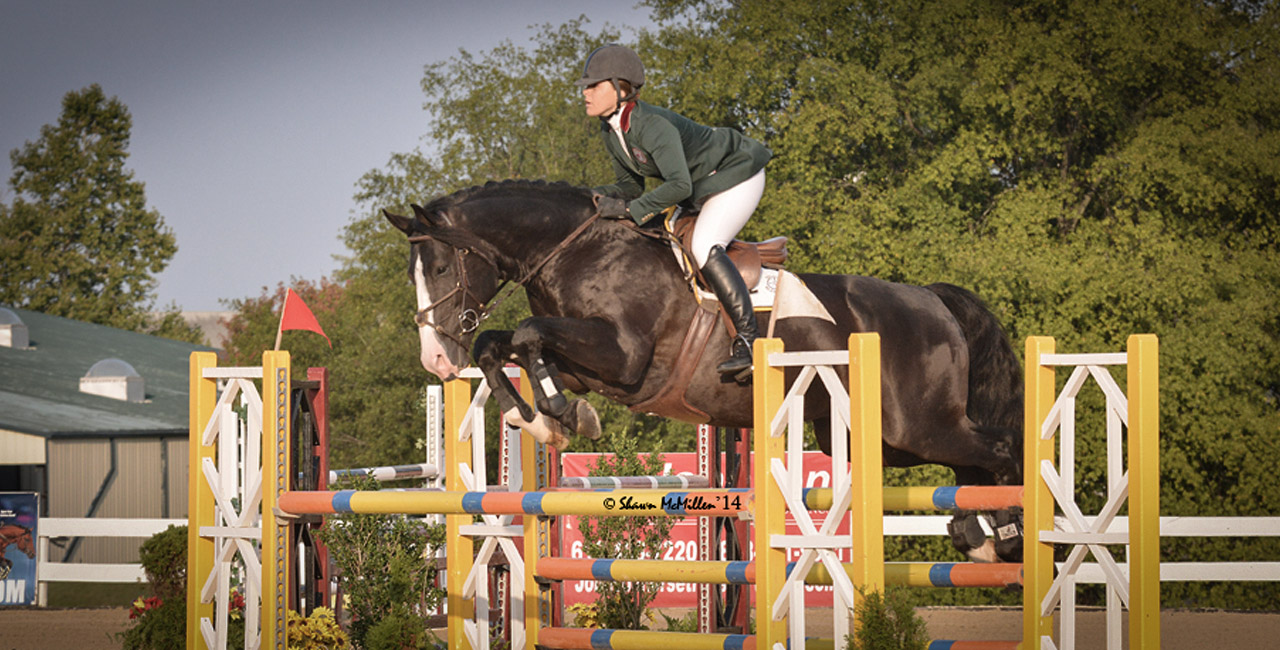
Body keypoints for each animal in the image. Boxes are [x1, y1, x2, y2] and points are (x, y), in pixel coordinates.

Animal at [385, 180, 1025, 562]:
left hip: (916, 426)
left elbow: (523, 333)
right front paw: (546, 419)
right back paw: (981, 536)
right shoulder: (592, 366)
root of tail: (934, 299)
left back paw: (1009, 533)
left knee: (998, 450)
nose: (435, 360)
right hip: (881, 439)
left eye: (438, 268)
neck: (578, 250)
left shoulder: (624, 355)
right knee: (972, 461)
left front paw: (556, 415)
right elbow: (501, 345)